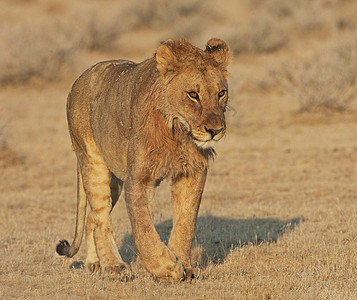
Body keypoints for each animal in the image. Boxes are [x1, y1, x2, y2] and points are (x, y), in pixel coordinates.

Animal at [55, 37, 228, 282]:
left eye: (221, 93)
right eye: (193, 94)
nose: (215, 131)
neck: (178, 132)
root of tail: (79, 80)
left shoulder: (192, 172)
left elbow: (186, 222)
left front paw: (186, 267)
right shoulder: (137, 178)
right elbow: (143, 228)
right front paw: (167, 268)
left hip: (115, 181)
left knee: (92, 218)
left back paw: (95, 262)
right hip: (92, 161)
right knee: (101, 217)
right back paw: (114, 266)